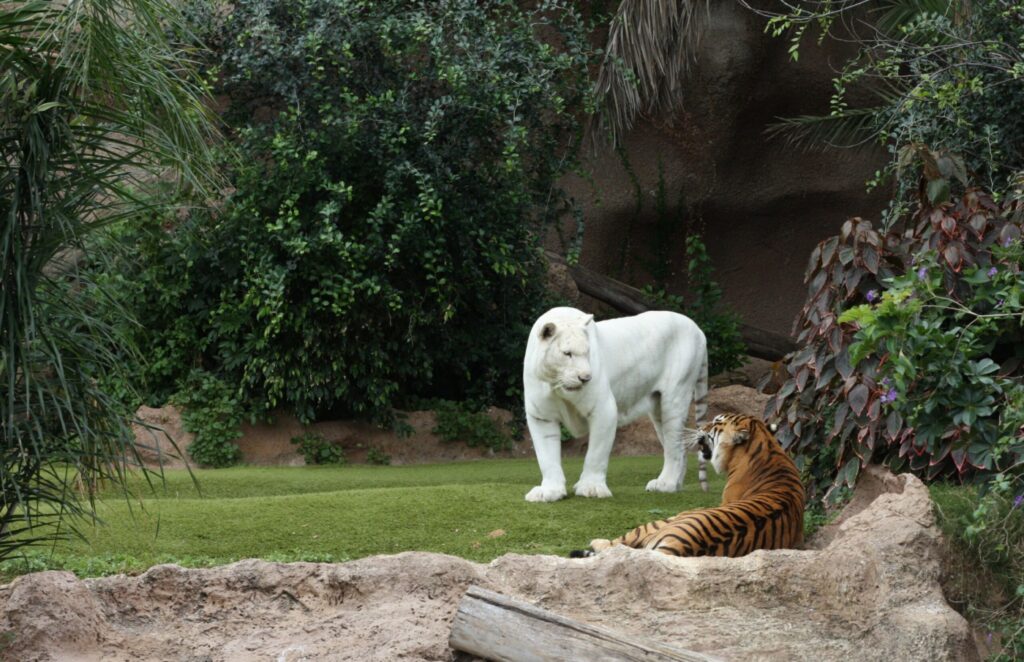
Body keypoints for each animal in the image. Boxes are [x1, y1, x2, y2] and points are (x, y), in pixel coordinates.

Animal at [524, 307, 708, 504]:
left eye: (587, 352)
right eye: (567, 353)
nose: (586, 378)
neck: (555, 385)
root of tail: (698, 329)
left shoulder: (603, 410)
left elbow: (596, 453)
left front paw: (591, 488)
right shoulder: (541, 417)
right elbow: (547, 458)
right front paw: (550, 491)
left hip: (675, 399)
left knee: (674, 447)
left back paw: (667, 484)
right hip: (659, 410)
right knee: (680, 448)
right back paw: (672, 485)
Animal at [573, 418, 802, 557]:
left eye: (716, 422)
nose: (701, 426)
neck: (767, 447)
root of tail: (677, 548)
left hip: (664, 521)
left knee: (617, 544)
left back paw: (596, 541)